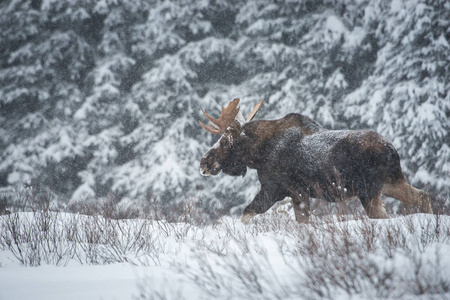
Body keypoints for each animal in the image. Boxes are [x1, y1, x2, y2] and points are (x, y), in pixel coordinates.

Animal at [200, 98, 432, 223]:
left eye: (224, 141)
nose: (204, 162)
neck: (257, 155)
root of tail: (390, 148)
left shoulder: (280, 189)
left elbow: (247, 213)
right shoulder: (291, 192)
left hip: (369, 189)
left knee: (383, 216)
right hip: (391, 182)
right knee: (422, 196)